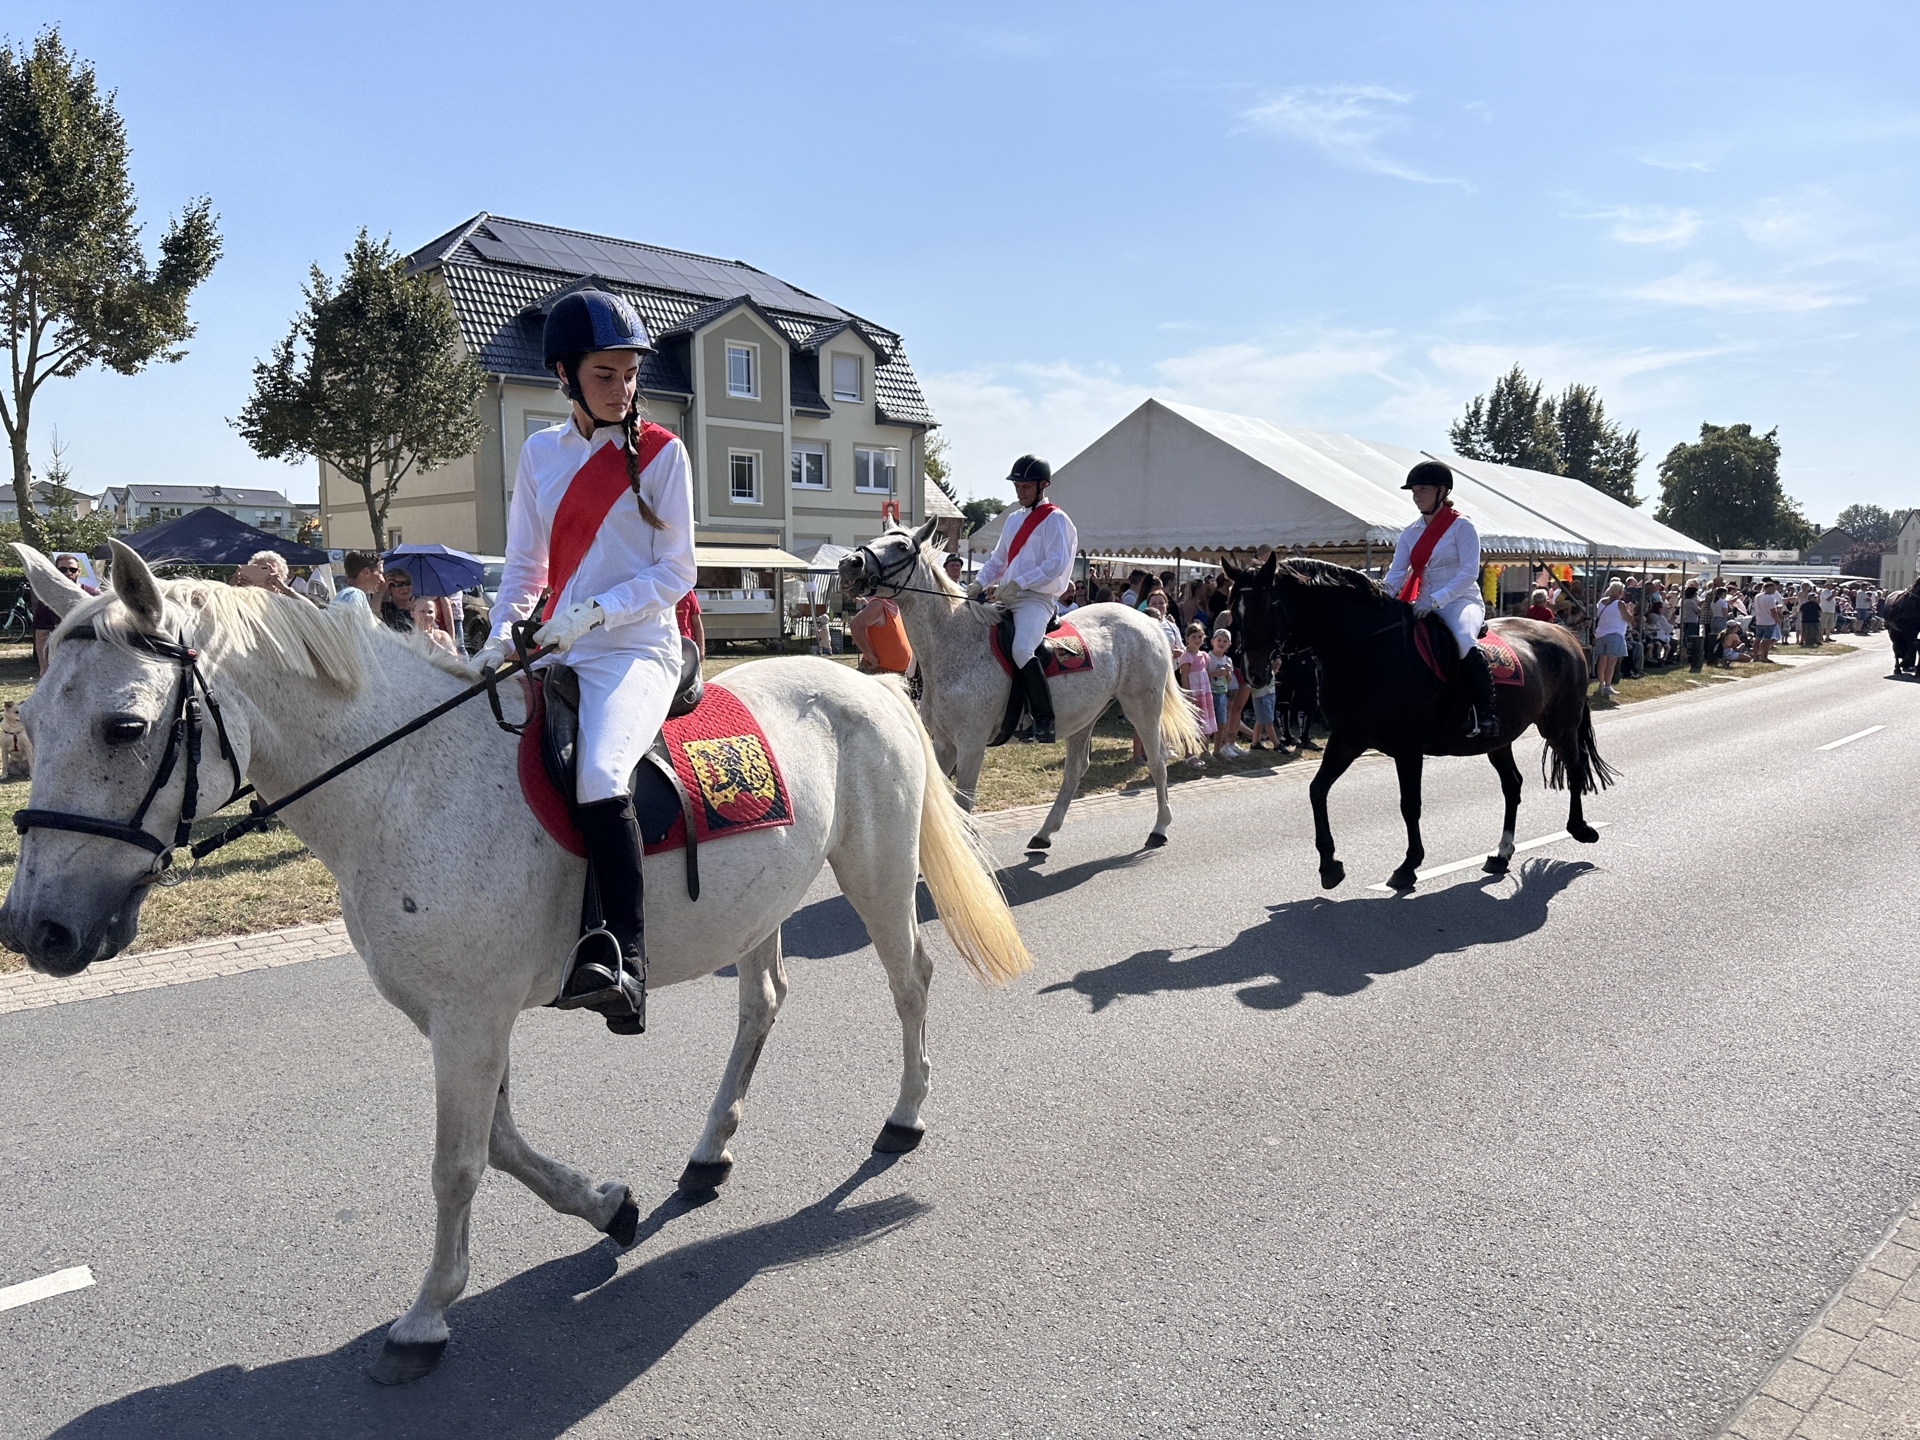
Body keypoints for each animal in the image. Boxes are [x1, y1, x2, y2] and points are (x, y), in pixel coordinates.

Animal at [3, 541, 1036, 1390]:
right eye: (29, 719)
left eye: (124, 727)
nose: (34, 930)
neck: (404, 782)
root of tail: (870, 683)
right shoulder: (459, 1015)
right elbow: (498, 1144)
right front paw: (608, 1206)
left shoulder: (469, 1018)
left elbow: (457, 1163)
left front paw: (425, 1317)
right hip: (757, 907)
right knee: (764, 1004)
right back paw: (708, 1153)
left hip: (875, 875)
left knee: (910, 984)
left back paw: (903, 1118)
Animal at [840, 522, 1198, 852]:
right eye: (874, 538)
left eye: (901, 546)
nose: (849, 564)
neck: (956, 643)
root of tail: (1148, 621)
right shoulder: (943, 744)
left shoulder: (971, 745)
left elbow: (963, 805)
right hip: (1084, 718)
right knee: (1075, 771)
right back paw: (1044, 833)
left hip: (1142, 710)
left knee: (1157, 762)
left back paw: (1160, 828)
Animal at [1221, 552, 1612, 890]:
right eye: (1232, 611)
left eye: (1267, 607)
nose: (1254, 674)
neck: (1365, 648)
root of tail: (1564, 634)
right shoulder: (1347, 738)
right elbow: (1318, 790)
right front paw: (1330, 866)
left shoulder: (1407, 749)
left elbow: (1410, 805)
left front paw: (1408, 866)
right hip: (1499, 740)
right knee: (1512, 785)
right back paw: (1501, 854)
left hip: (1559, 725)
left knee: (1575, 767)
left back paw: (1580, 828)